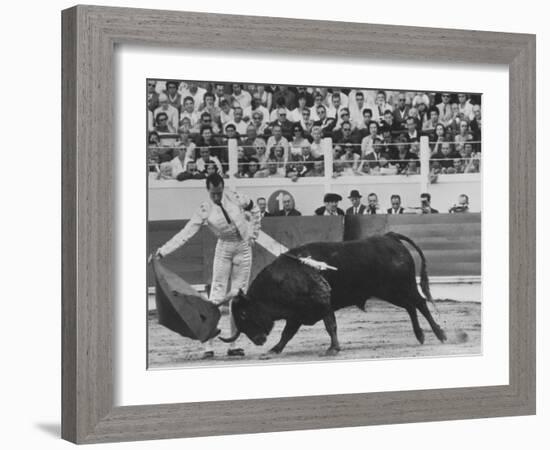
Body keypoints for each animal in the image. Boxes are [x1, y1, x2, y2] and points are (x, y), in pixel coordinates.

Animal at [220, 232, 448, 356]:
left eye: (243, 314)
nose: (257, 340)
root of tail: (390, 237)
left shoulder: (322, 303)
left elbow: (330, 325)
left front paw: (333, 349)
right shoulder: (296, 314)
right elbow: (287, 333)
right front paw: (274, 349)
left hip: (403, 287)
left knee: (420, 303)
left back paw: (440, 334)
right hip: (390, 292)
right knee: (411, 306)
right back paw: (420, 336)